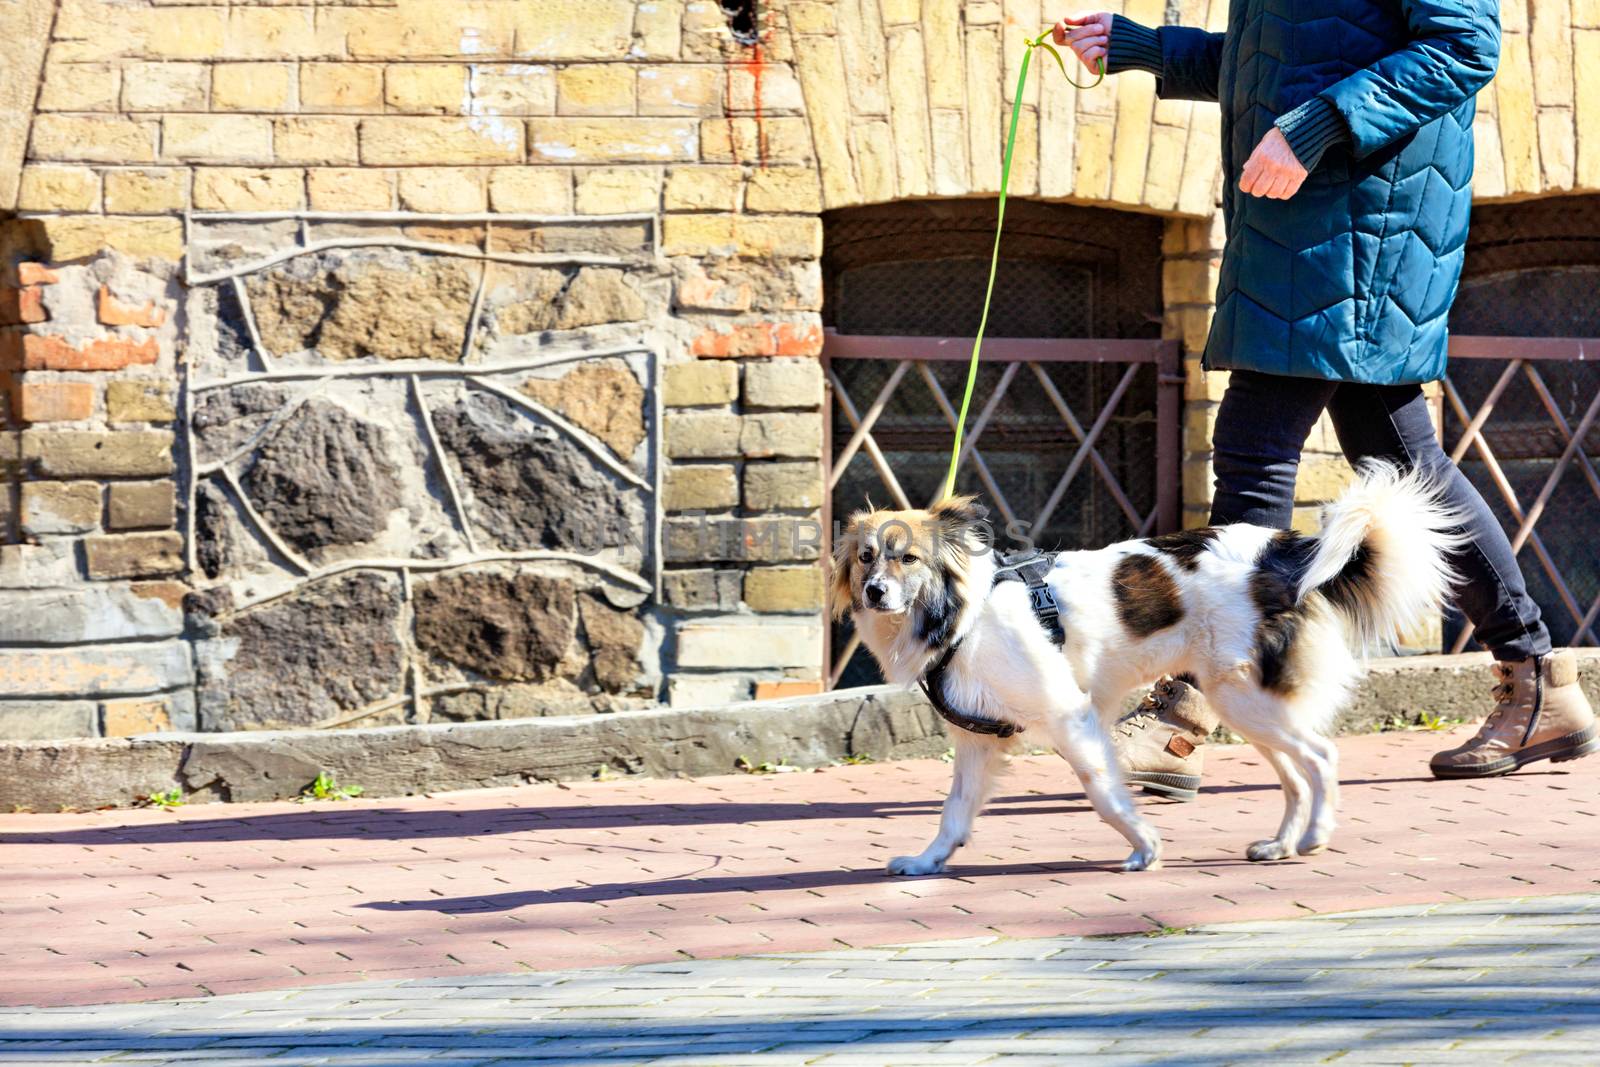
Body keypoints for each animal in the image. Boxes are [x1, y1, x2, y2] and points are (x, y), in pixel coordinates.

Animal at [832, 460, 1459, 876]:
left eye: (909, 558)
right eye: (866, 557)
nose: (875, 591)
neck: (964, 610)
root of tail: (1285, 553)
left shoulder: (1072, 717)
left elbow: (1104, 792)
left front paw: (1145, 846)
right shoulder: (978, 741)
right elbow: (954, 814)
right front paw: (928, 861)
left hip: (1246, 700)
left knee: (1322, 758)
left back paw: (1316, 838)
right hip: (1248, 707)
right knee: (1295, 775)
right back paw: (1281, 845)